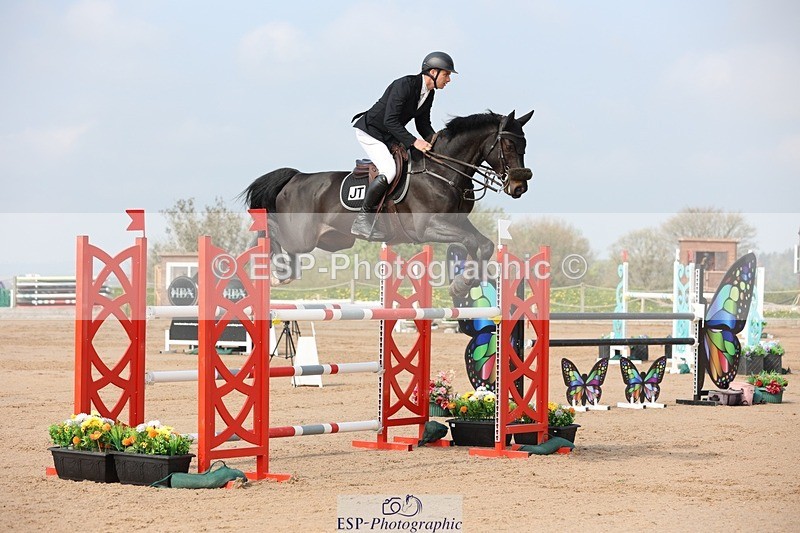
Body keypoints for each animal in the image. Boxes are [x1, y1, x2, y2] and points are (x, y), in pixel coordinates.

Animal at [242, 109, 534, 296]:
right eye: (509, 146)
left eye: (524, 145)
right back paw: (278, 272)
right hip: (301, 237)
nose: (519, 187)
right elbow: (472, 241)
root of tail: (296, 177)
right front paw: (462, 283)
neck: (443, 169)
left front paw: (464, 282)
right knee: (272, 231)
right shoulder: (428, 227)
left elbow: (483, 244)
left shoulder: (457, 221)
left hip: (334, 240)